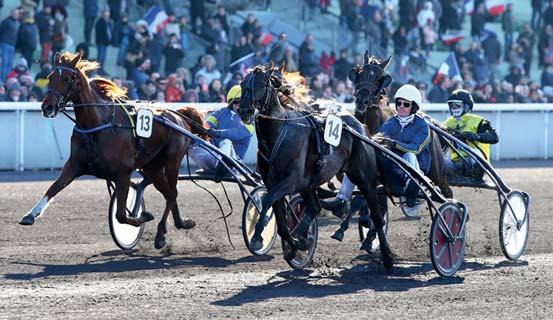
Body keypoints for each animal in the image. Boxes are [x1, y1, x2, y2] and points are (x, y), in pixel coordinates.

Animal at [18, 51, 207, 249]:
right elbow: (53, 188)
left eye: (67, 78)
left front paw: (143, 216)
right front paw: (30, 214)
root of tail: (180, 117)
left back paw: (161, 233)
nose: (47, 107)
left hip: (172, 161)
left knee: (172, 193)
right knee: (168, 192)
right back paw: (180, 224)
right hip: (152, 167)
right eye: (50, 77)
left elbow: (121, 215)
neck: (98, 125)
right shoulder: (74, 165)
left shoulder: (123, 173)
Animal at [237, 63, 392, 268]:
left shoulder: (291, 181)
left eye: (261, 84)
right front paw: (297, 244)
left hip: (364, 179)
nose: (244, 111)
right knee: (314, 207)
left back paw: (386, 254)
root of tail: (361, 128)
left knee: (375, 213)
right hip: (311, 183)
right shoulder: (274, 183)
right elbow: (280, 221)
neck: (278, 133)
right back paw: (303, 235)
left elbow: (267, 200)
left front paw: (257, 238)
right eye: (242, 84)